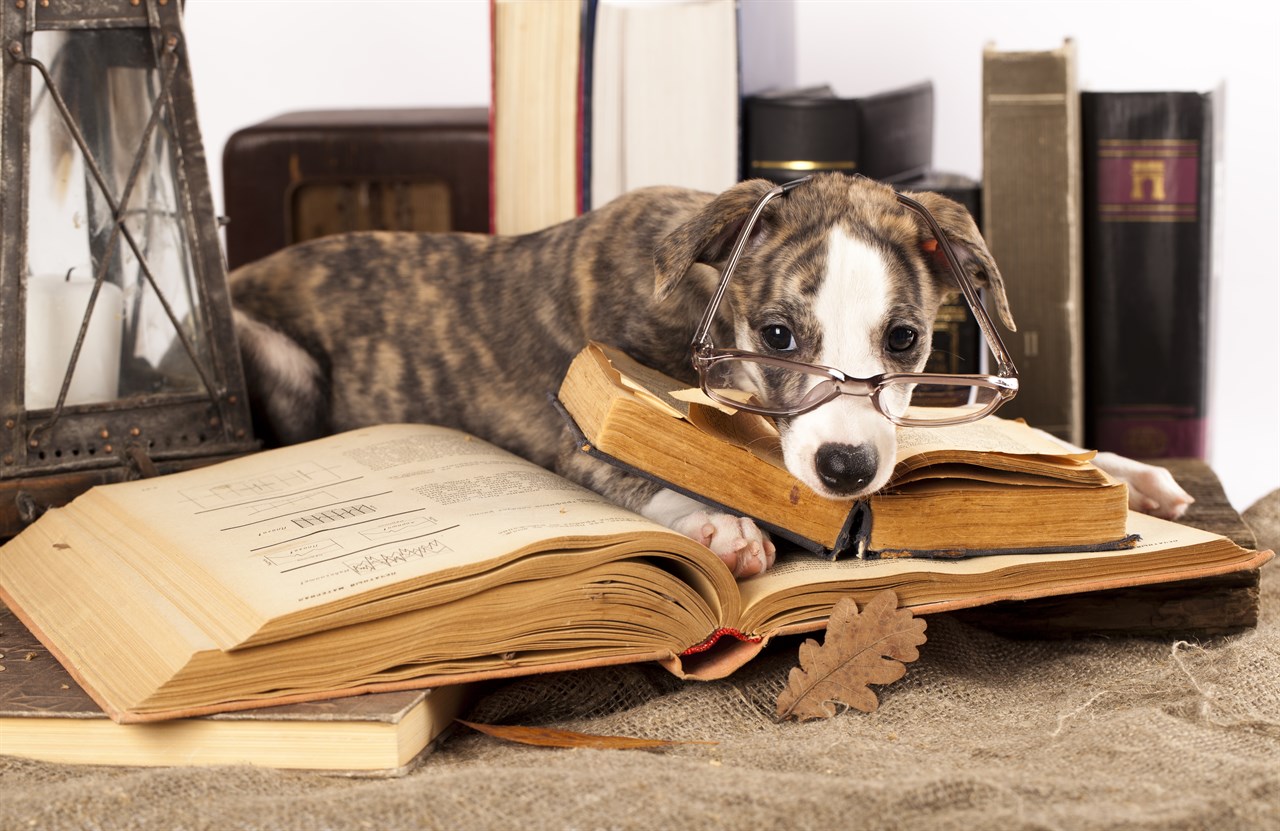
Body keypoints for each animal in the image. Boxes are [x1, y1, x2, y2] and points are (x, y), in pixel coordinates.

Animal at [227, 175, 1187, 576]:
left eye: (907, 338)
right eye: (777, 333)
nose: (847, 471)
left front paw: (1126, 475)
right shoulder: (582, 429)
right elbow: (643, 470)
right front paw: (722, 524)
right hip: (280, 361)